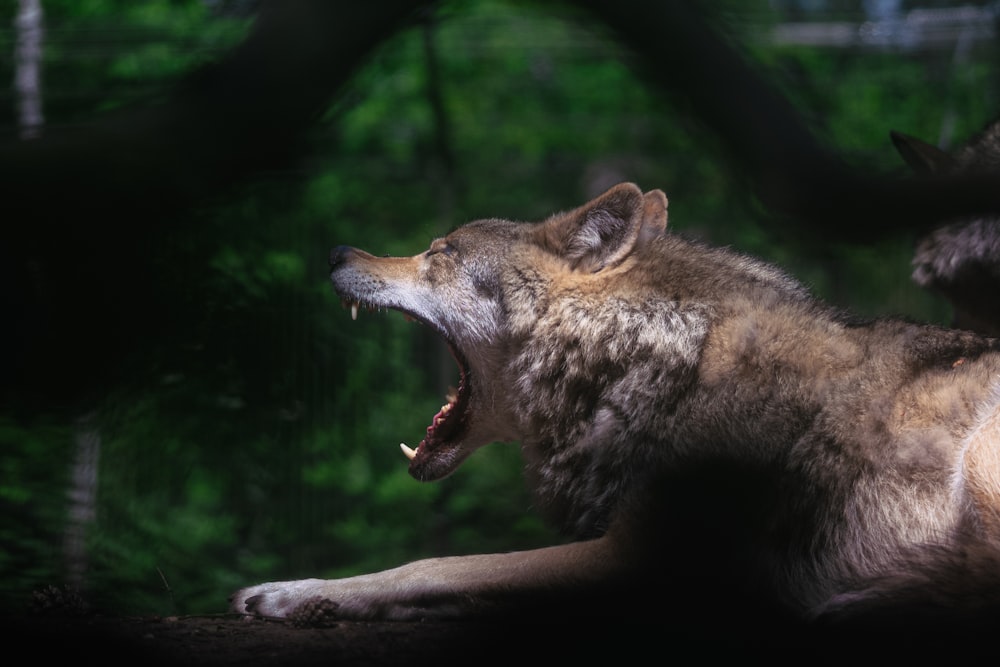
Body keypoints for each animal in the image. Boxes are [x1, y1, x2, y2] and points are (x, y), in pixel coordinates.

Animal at [230, 183, 1000, 636]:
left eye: (439, 253)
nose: (335, 251)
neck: (645, 355)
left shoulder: (636, 554)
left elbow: (434, 565)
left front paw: (293, 592)